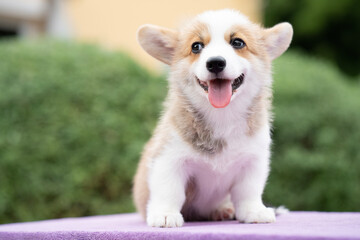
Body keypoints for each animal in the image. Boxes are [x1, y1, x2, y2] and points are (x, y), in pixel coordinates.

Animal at [132, 9, 292, 227]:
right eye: (196, 46)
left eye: (238, 42)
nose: (215, 63)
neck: (222, 115)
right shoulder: (168, 159)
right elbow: (169, 190)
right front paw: (165, 214)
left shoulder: (253, 161)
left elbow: (248, 191)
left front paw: (254, 211)